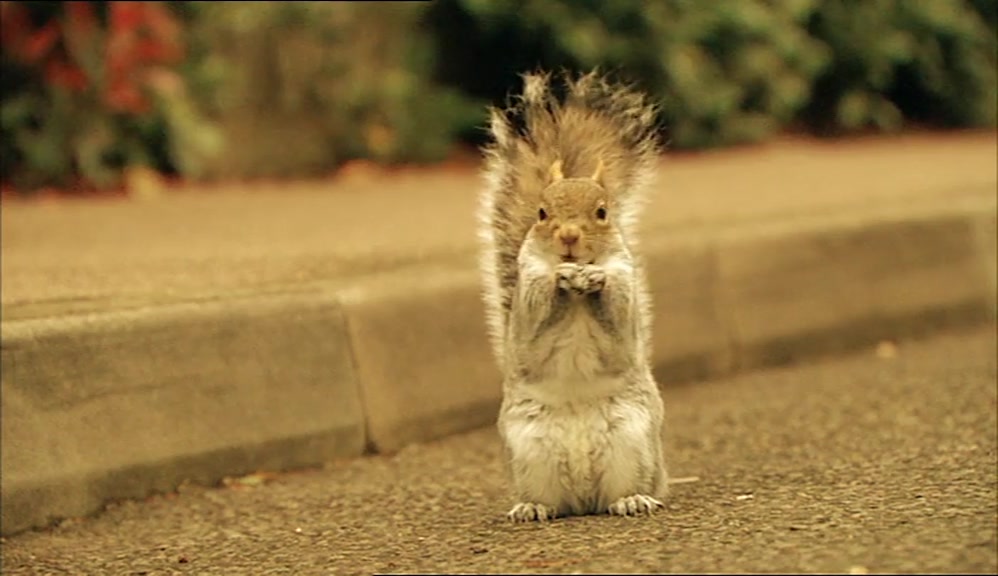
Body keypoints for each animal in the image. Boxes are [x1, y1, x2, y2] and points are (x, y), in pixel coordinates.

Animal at [477, 69, 668, 522]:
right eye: (542, 213)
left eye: (602, 212)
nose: (567, 237)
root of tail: (583, 499)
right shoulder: (526, 300)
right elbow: (536, 316)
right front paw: (561, 277)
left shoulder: (625, 292)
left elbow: (617, 316)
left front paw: (594, 278)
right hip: (529, 455)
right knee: (550, 499)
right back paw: (531, 507)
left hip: (633, 443)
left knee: (624, 489)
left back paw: (632, 499)